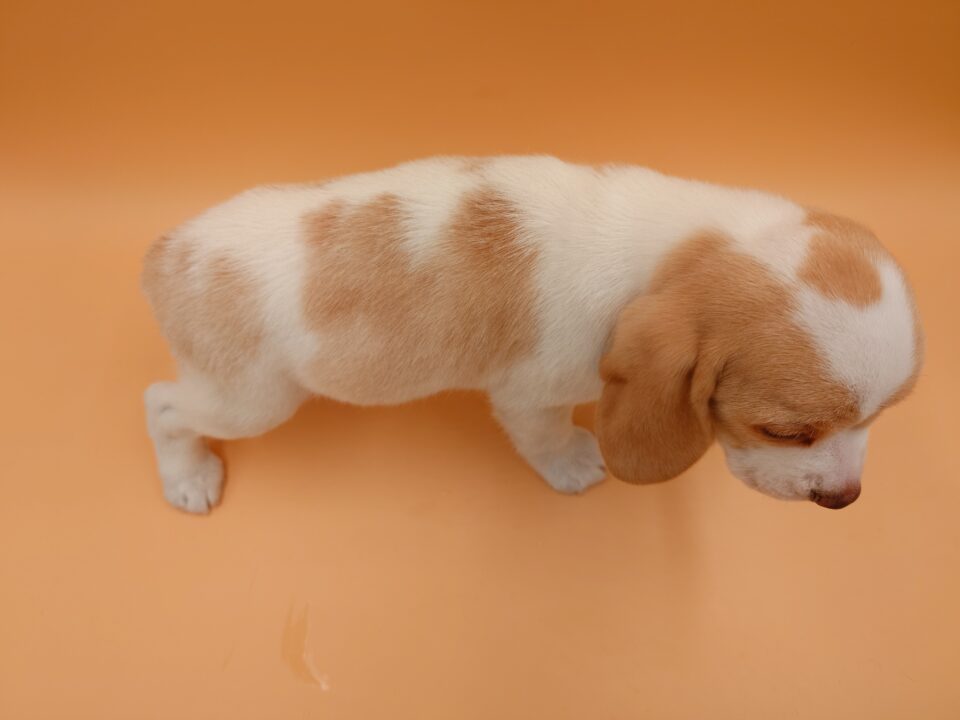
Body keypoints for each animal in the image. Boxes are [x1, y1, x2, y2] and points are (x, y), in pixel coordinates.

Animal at [142, 156, 923, 513]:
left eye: (880, 418)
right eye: (785, 433)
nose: (844, 499)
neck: (671, 244)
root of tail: (168, 252)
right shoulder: (530, 396)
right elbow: (546, 436)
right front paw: (573, 464)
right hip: (249, 401)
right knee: (162, 405)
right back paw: (188, 476)